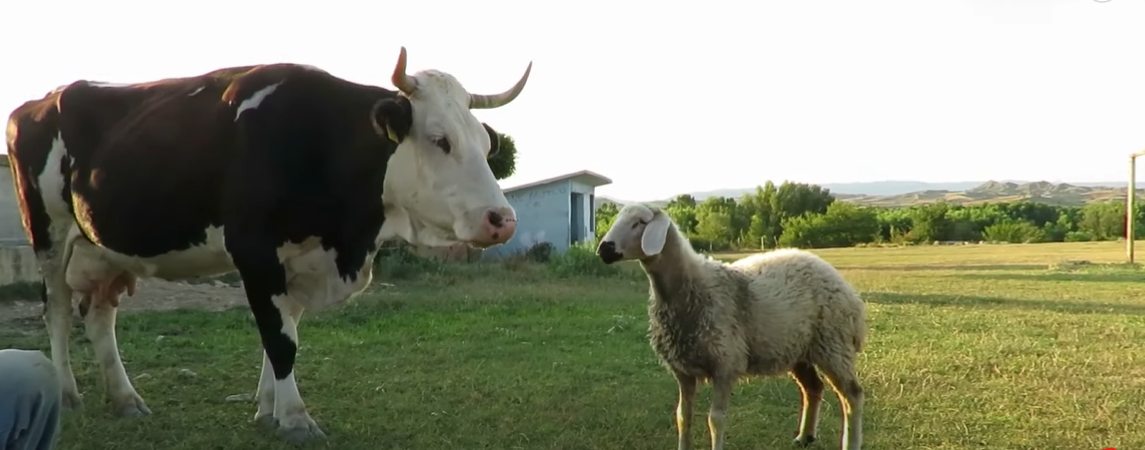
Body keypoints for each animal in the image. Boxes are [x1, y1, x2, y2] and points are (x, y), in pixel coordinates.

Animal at [3, 47, 531, 439]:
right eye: (440, 140)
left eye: (486, 144)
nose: (502, 221)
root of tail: (38, 103)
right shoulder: (253, 250)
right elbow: (279, 339)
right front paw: (294, 418)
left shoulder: (300, 259)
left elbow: (287, 328)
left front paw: (268, 407)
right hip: (49, 235)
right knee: (56, 312)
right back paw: (67, 393)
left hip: (104, 247)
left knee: (99, 317)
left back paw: (125, 398)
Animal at [595, 202, 861, 448]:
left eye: (640, 222)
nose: (604, 249)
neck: (693, 287)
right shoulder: (683, 369)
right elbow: (683, 416)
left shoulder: (725, 364)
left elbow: (716, 420)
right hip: (798, 349)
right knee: (813, 388)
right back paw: (805, 436)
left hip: (833, 344)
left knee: (852, 395)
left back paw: (850, 441)